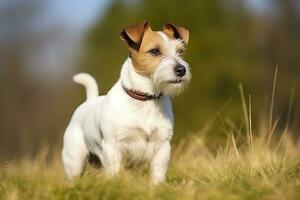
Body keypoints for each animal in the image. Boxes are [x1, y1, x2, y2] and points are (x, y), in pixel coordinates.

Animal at [62, 21, 191, 184]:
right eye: (155, 51)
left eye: (180, 51)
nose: (181, 70)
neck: (146, 98)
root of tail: (89, 100)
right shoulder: (113, 147)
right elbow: (114, 172)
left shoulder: (162, 147)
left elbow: (158, 174)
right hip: (74, 161)